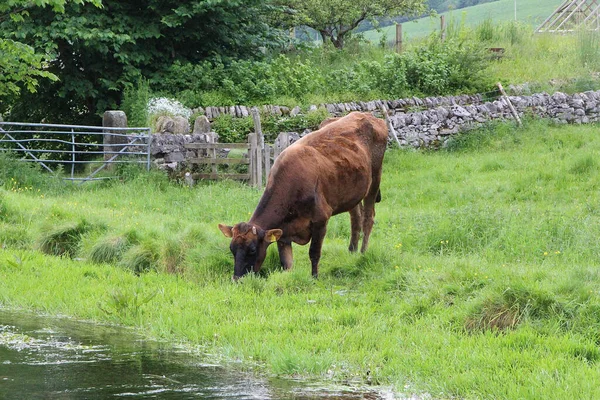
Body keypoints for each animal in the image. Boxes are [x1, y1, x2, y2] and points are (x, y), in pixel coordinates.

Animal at [218, 111, 386, 280]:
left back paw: (363, 253)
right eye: (231, 248)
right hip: (352, 192)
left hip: (375, 179)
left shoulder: (321, 220)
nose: (237, 279)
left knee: (368, 218)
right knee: (356, 218)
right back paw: (352, 251)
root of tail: (366, 114)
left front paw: (315, 278)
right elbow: (286, 263)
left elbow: (314, 253)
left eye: (252, 249)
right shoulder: (283, 233)